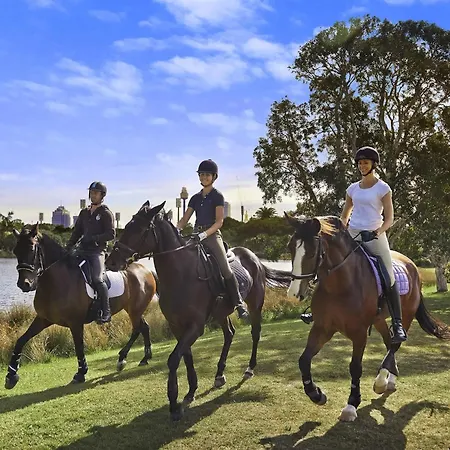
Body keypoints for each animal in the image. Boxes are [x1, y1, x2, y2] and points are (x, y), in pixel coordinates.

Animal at [5, 223, 157, 389]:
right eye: (15, 251)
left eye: (32, 248)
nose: (24, 284)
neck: (56, 281)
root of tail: (146, 269)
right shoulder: (44, 319)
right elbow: (21, 340)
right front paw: (11, 375)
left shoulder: (75, 322)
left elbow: (79, 346)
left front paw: (81, 372)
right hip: (132, 309)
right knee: (144, 327)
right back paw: (145, 357)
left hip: (135, 309)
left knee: (137, 329)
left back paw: (122, 359)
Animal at [105, 201, 292, 421]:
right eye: (126, 226)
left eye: (139, 230)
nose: (111, 261)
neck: (181, 274)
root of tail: (253, 256)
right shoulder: (177, 326)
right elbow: (186, 357)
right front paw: (191, 391)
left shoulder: (195, 326)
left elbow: (174, 359)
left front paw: (174, 403)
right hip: (221, 313)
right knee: (229, 334)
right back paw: (219, 374)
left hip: (255, 304)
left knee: (255, 333)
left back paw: (249, 368)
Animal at [285, 214, 450, 422]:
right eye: (290, 247)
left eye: (312, 252)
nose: (293, 295)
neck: (340, 284)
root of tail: (411, 264)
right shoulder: (323, 328)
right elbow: (304, 360)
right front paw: (317, 395)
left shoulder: (359, 333)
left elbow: (355, 367)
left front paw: (351, 405)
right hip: (378, 320)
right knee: (389, 343)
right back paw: (389, 380)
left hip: (406, 315)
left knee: (396, 343)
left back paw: (381, 382)